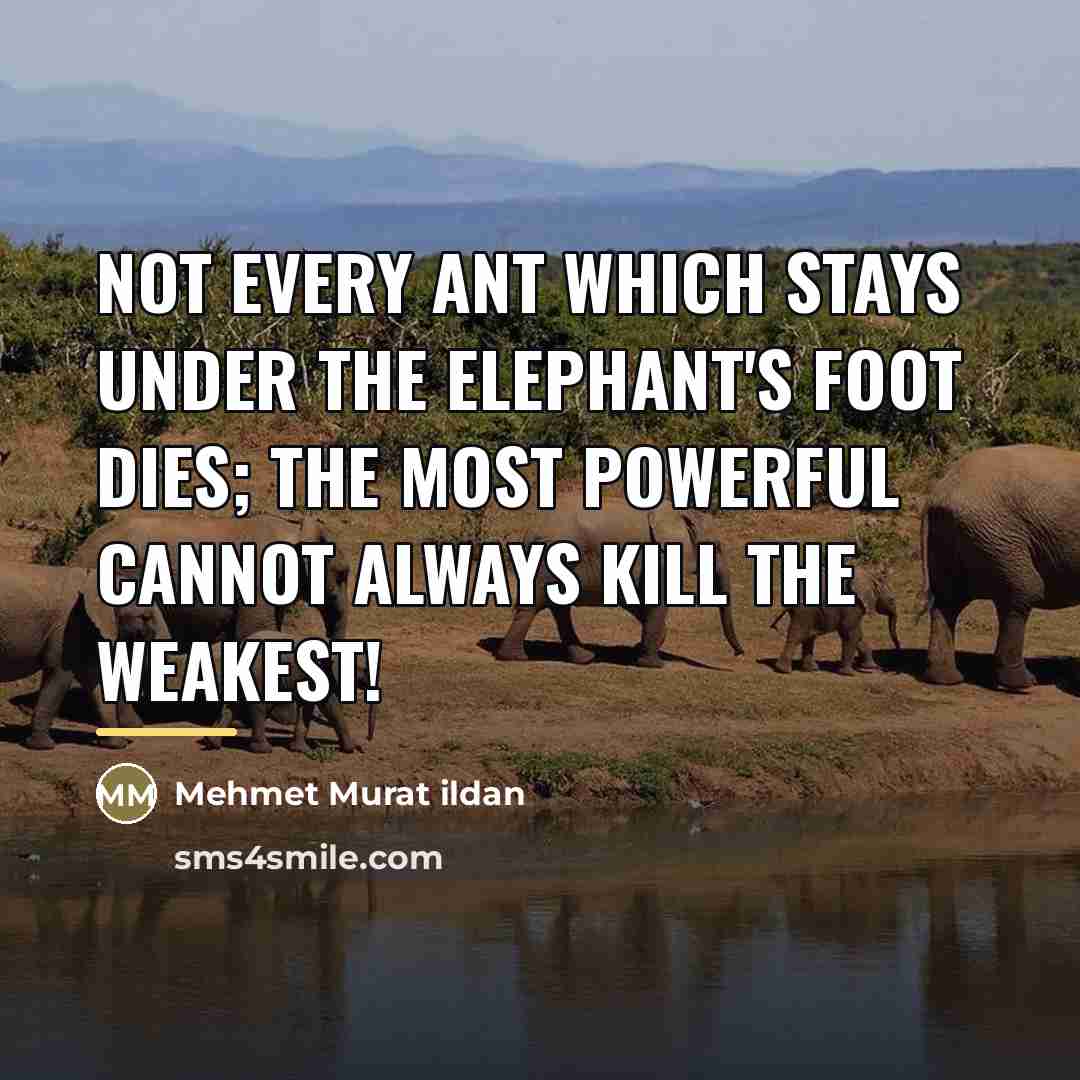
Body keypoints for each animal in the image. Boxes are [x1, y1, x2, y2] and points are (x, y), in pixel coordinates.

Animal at [0, 564, 161, 749]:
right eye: (145, 617)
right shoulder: (67, 625)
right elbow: (60, 674)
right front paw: (41, 746)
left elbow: (95, 678)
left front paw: (115, 745)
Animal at [203, 630, 376, 755]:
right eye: (365, 670)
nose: (366, 741)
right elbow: (330, 707)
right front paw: (350, 749)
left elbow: (308, 708)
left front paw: (301, 750)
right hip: (258, 674)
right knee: (258, 707)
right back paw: (264, 750)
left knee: (232, 706)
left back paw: (212, 743)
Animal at [496, 502, 744, 668]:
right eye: (717, 547)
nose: (738, 654)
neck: (679, 514)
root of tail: (531, 531)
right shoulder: (657, 557)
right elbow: (655, 601)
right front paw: (654, 664)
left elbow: (639, 604)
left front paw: (640, 649)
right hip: (550, 560)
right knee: (534, 606)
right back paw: (515, 658)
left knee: (558, 609)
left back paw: (584, 659)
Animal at [771, 565, 901, 675]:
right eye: (892, 600)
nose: (886, 669)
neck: (870, 576)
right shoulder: (852, 604)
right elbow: (850, 633)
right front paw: (848, 673)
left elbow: (857, 635)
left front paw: (871, 668)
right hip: (804, 611)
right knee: (798, 635)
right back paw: (784, 670)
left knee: (809, 636)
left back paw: (812, 669)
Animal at [920, 443, 1080, 689]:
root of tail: (940, 490)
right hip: (996, 533)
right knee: (1024, 591)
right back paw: (1021, 683)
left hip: (954, 534)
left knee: (949, 599)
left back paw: (945, 679)